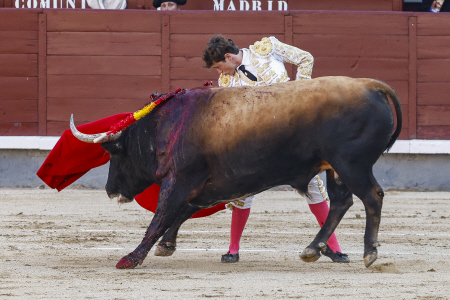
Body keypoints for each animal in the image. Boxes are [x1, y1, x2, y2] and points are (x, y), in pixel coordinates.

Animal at [71, 75, 404, 270]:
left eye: (115, 153)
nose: (110, 189)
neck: (162, 126)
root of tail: (371, 85)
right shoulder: (205, 187)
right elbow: (181, 213)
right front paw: (166, 246)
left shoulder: (179, 181)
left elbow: (160, 217)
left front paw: (131, 258)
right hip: (335, 168)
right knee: (340, 202)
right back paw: (313, 248)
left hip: (351, 164)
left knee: (371, 196)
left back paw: (369, 253)